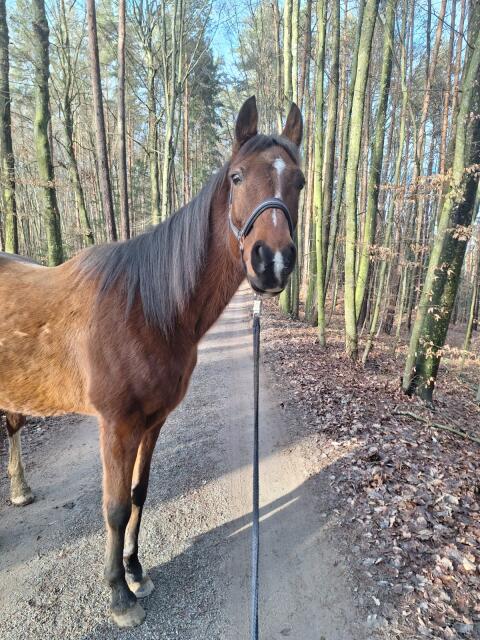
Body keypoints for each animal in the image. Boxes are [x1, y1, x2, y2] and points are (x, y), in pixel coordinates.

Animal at [0, 96, 304, 628]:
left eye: (301, 182)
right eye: (237, 177)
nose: (272, 262)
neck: (145, 308)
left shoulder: (153, 421)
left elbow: (140, 493)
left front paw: (136, 571)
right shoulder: (117, 425)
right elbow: (116, 506)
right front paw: (119, 597)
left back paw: (19, 490)